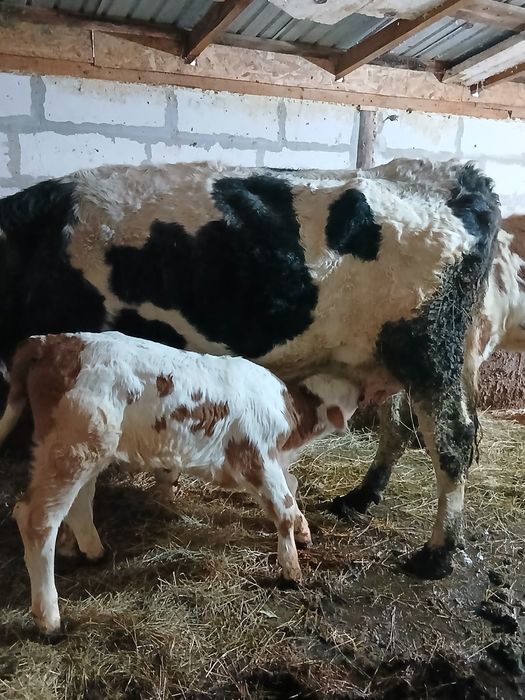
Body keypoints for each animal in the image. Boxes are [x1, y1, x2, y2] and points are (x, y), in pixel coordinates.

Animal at [0, 158, 500, 580]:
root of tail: (453, 176)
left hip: (429, 351)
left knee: (452, 442)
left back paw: (437, 554)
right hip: (387, 358)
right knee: (397, 429)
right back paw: (360, 497)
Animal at [1, 331, 359, 633]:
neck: (289, 416)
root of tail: (50, 341)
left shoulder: (274, 462)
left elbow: (293, 488)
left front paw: (303, 530)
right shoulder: (256, 456)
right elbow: (283, 507)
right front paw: (291, 569)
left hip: (89, 449)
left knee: (79, 502)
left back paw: (94, 551)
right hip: (73, 446)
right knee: (36, 518)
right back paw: (49, 618)